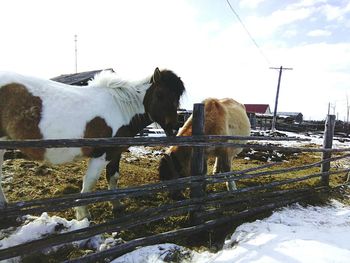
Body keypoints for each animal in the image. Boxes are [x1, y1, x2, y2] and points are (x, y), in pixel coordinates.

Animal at [0, 68, 185, 221]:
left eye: (177, 98)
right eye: (160, 94)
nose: (174, 127)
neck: (121, 108)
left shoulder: (115, 153)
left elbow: (113, 177)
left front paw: (116, 206)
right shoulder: (101, 155)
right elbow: (89, 182)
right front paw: (83, 215)